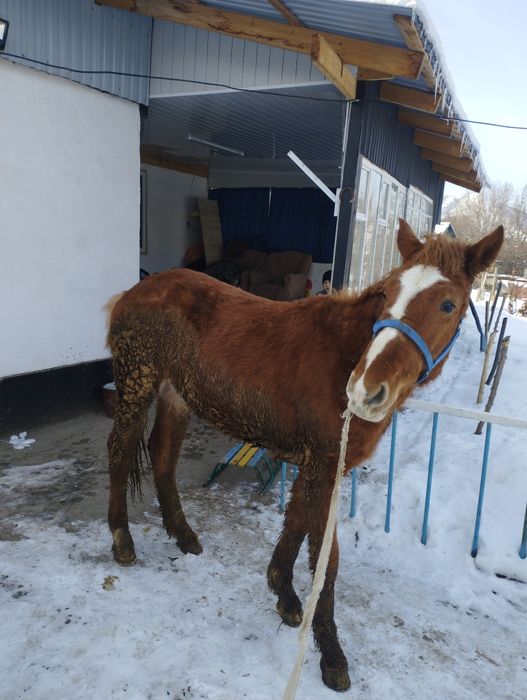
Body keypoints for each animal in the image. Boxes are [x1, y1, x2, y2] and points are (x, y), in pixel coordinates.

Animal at [106, 220, 503, 692]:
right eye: (389, 292)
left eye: (448, 304)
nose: (366, 390)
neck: (344, 354)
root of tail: (135, 290)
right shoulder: (325, 466)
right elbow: (326, 561)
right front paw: (331, 654)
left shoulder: (320, 467)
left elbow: (296, 523)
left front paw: (285, 596)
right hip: (137, 383)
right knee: (120, 451)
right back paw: (122, 541)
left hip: (175, 394)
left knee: (163, 455)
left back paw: (183, 536)